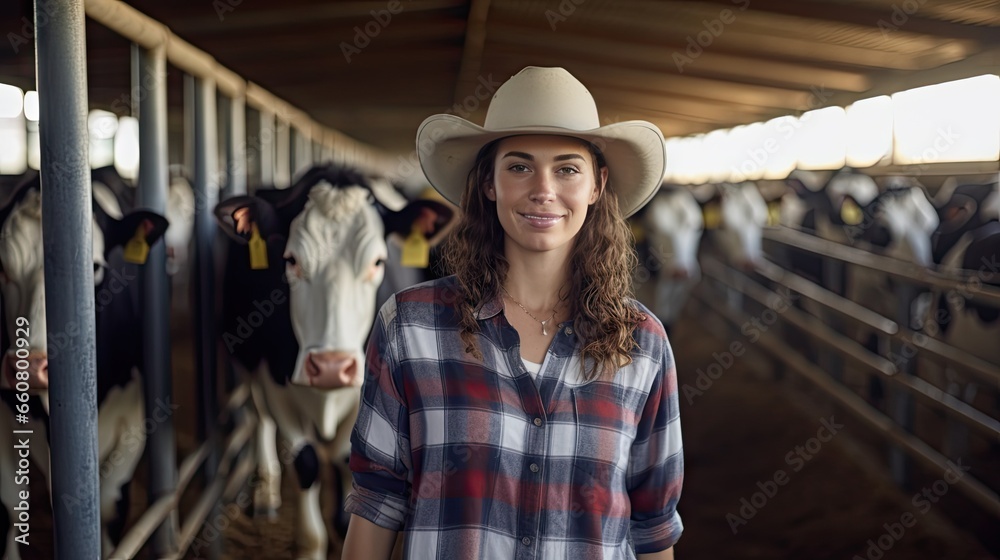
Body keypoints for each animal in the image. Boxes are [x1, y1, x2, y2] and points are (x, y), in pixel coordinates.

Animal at [0, 173, 168, 556]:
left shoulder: (135, 418)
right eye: (2, 271)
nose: (29, 367)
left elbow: (105, 502)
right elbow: (10, 503)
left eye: (93, 267)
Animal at [217, 164, 456, 556]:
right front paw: (310, 545)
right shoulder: (276, 387)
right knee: (258, 417)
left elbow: (350, 461)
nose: (331, 366)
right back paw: (266, 492)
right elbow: (306, 462)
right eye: (291, 260)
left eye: (378, 261)